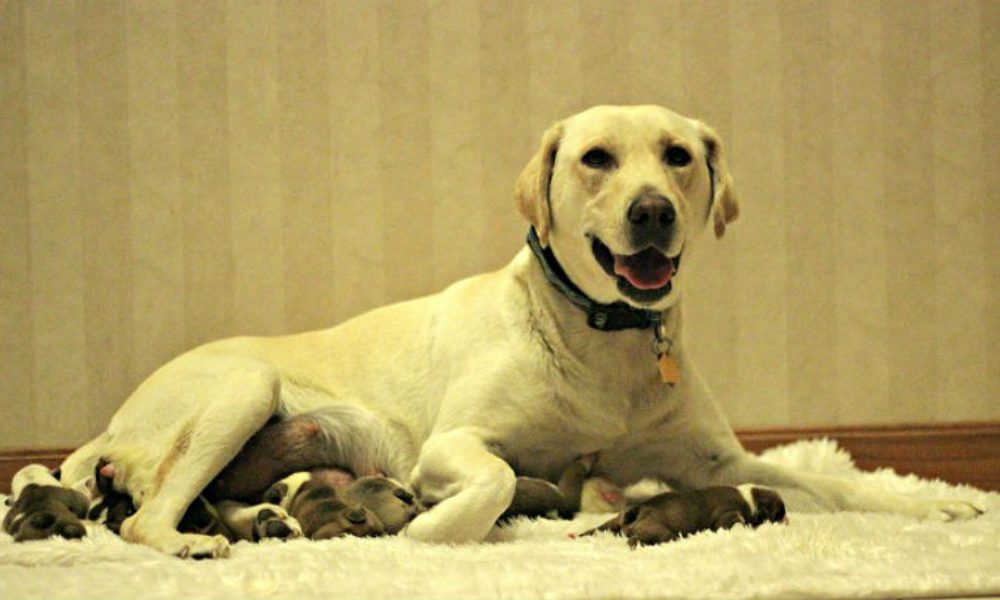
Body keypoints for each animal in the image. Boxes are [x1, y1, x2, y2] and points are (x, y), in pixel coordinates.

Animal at [37, 104, 976, 556]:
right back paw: (193, 545)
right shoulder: (455, 443)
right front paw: (426, 529)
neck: (607, 338)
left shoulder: (716, 464)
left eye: (678, 155)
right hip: (244, 384)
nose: (653, 211)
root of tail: (110, 426)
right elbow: (488, 482)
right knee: (142, 521)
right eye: (597, 158)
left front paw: (933, 503)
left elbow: (836, 482)